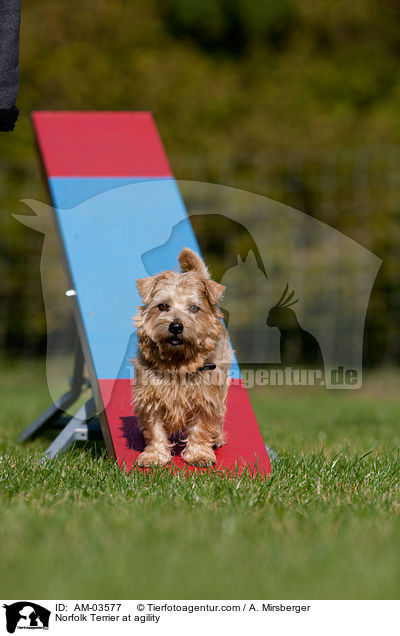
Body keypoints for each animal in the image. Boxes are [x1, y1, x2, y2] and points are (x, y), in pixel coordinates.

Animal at [132, 248, 231, 468]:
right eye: (162, 306)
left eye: (194, 308)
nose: (176, 326)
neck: (178, 361)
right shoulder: (150, 396)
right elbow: (154, 429)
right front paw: (155, 455)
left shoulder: (207, 397)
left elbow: (202, 427)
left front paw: (199, 454)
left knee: (221, 414)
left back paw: (218, 437)